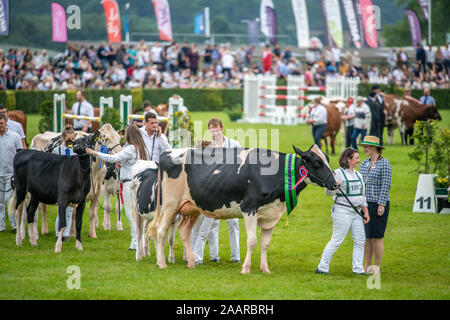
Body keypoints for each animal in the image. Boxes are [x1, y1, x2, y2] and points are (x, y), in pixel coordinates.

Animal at [149, 144, 340, 272]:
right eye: (316, 162)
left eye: (327, 159)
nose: (336, 183)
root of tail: (168, 152)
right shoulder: (249, 208)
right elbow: (252, 241)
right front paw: (246, 268)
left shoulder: (271, 214)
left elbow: (265, 243)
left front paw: (265, 269)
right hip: (170, 204)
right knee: (161, 230)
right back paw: (161, 263)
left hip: (192, 207)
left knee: (183, 231)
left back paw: (190, 262)